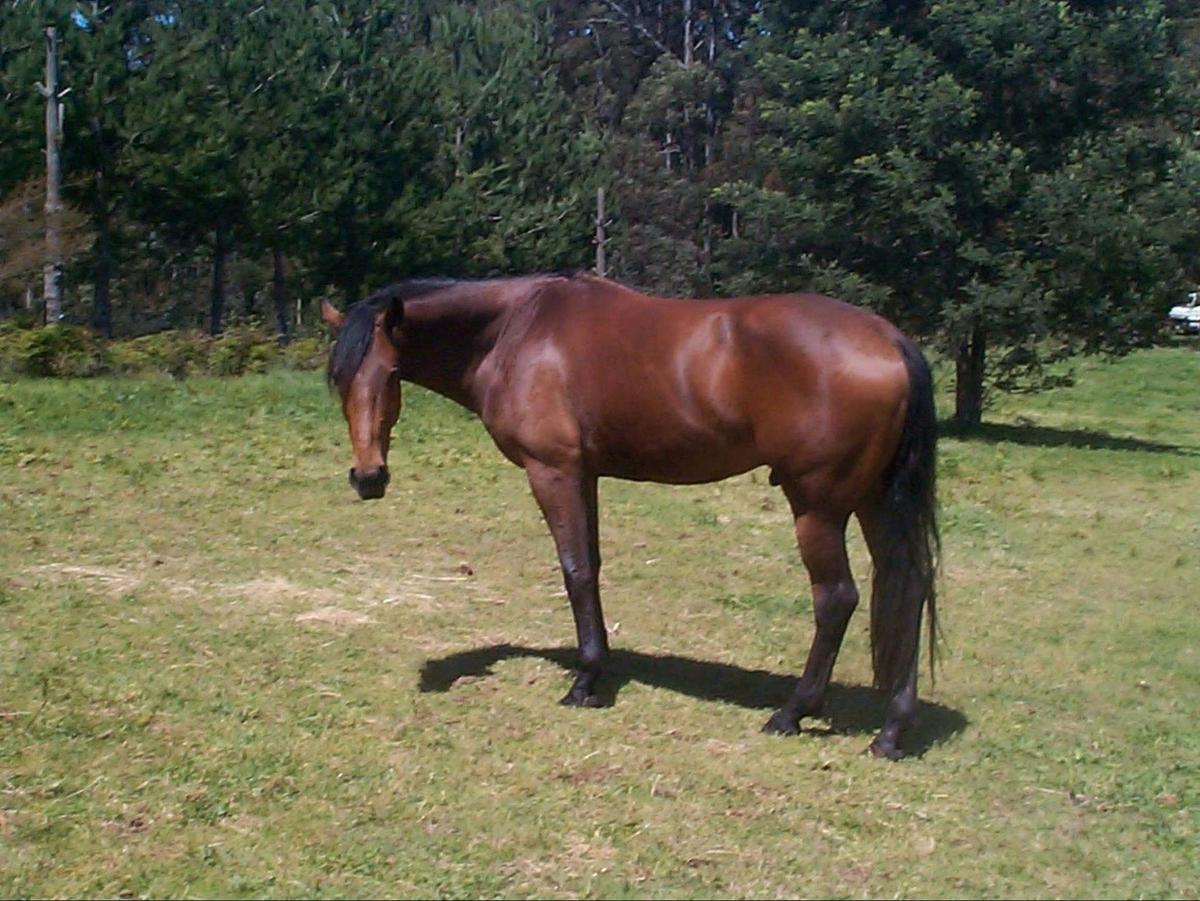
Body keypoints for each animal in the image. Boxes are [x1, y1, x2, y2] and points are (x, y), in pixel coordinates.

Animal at [320, 272, 939, 760]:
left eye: (391, 375)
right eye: (340, 381)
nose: (368, 477)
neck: (514, 329)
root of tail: (891, 340)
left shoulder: (554, 472)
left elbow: (574, 570)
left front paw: (584, 681)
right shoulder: (585, 475)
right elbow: (591, 566)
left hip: (818, 508)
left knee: (836, 598)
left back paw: (792, 713)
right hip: (875, 502)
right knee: (908, 586)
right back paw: (891, 732)